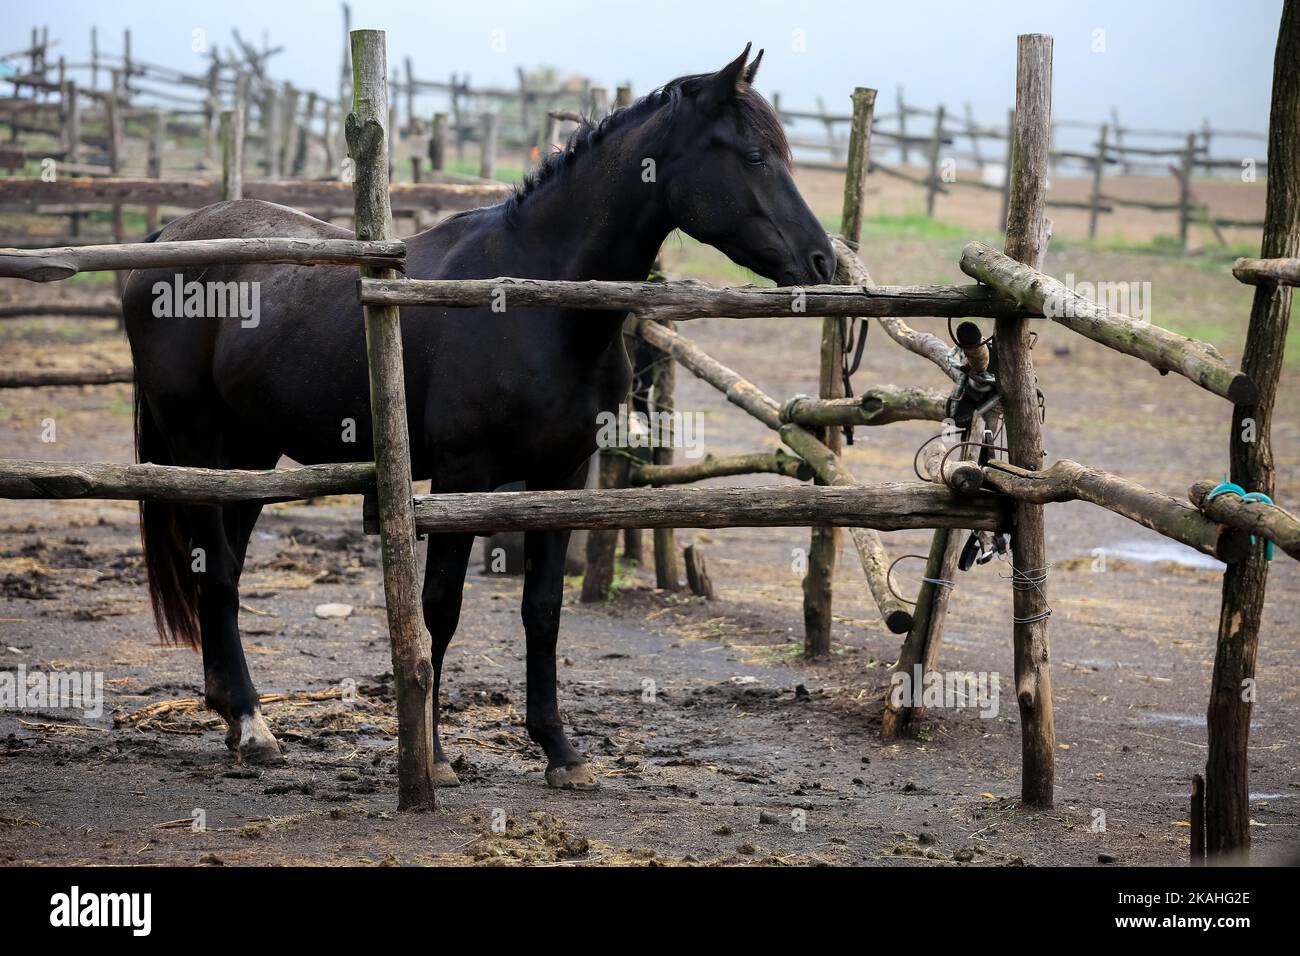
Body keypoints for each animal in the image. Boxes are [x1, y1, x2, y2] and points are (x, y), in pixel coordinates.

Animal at [122, 45, 834, 790]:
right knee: (217, 570)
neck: (533, 296)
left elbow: (542, 610)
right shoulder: (462, 478)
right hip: (201, 447)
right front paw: (432, 758)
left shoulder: (560, 477)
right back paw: (252, 723)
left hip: (252, 457)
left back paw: (234, 716)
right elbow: (439, 608)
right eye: (754, 155)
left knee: (223, 571)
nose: (821, 259)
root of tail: (170, 236)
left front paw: (560, 751)